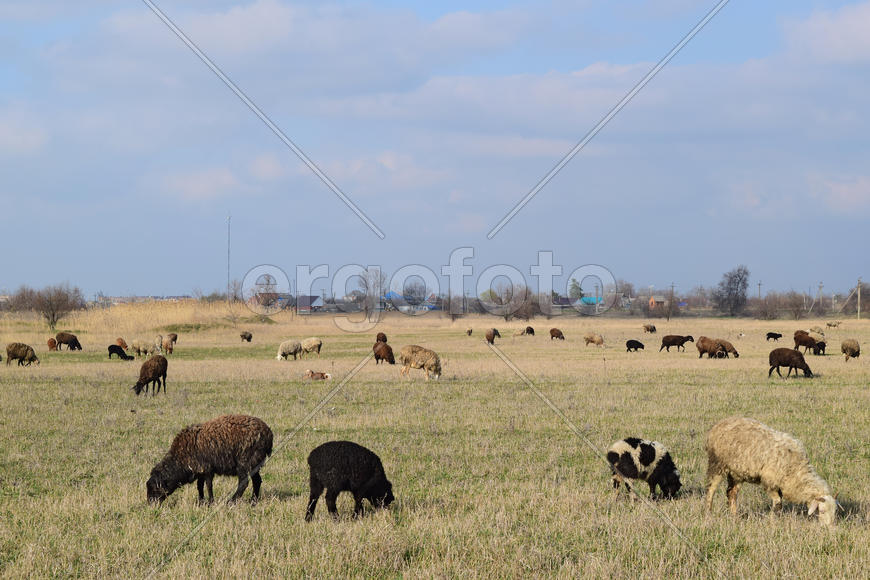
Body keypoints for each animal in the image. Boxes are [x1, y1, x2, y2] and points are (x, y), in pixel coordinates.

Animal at [705, 417, 837, 527]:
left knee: (731, 493)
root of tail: (718, 425)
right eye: (822, 511)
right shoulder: (770, 482)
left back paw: (734, 516)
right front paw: (773, 520)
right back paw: (708, 512)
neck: (797, 471)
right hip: (717, 463)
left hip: (737, 473)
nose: (828, 528)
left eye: (834, 511)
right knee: (711, 489)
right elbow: (777, 502)